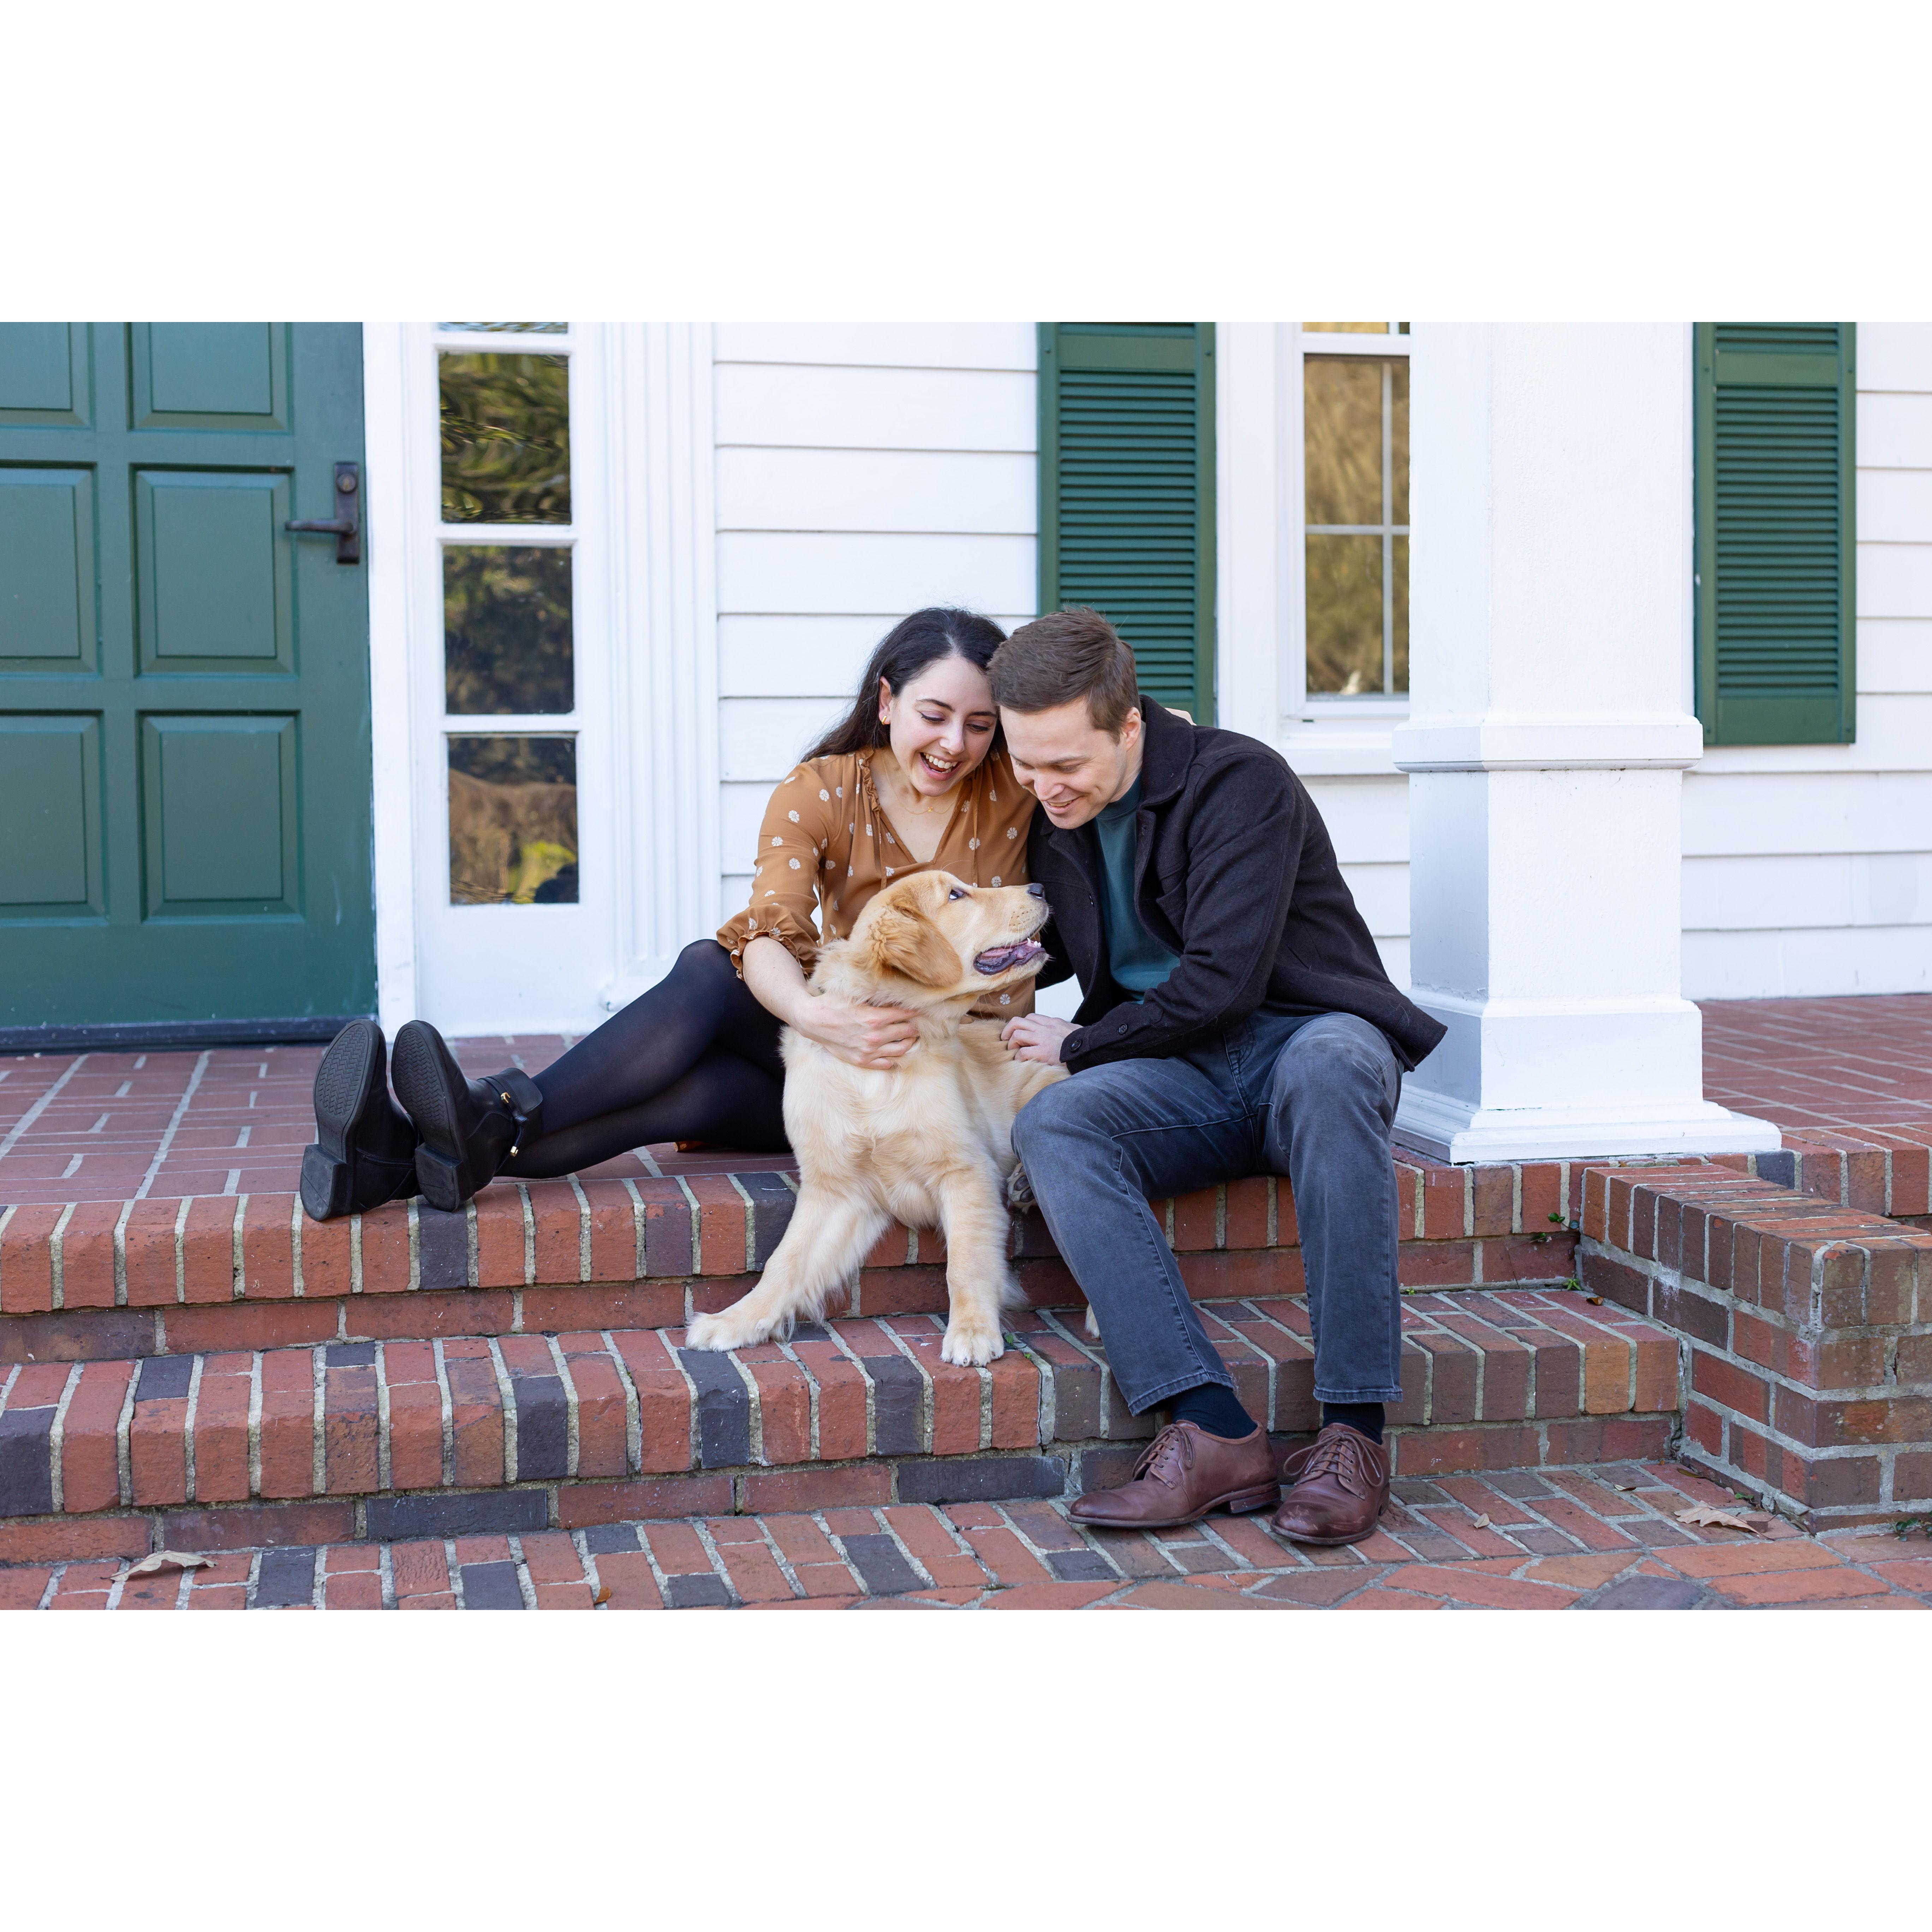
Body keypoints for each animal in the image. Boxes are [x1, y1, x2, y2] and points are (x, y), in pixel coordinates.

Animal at [685, 872, 1067, 1366]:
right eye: (956, 894)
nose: (1040, 888)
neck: (876, 1075)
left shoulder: (966, 1171)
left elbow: (966, 1262)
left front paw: (972, 1331)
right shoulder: (835, 1188)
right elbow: (783, 1262)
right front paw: (734, 1321)